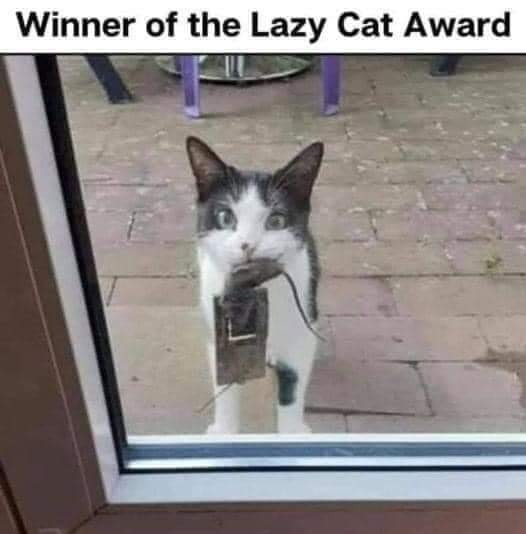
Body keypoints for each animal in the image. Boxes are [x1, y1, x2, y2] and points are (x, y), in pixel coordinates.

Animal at [186, 136, 323, 434]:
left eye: (276, 220)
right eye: (225, 217)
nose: (248, 245)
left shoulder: (302, 329)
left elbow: (293, 384)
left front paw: (292, 432)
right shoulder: (216, 325)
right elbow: (224, 375)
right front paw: (224, 432)